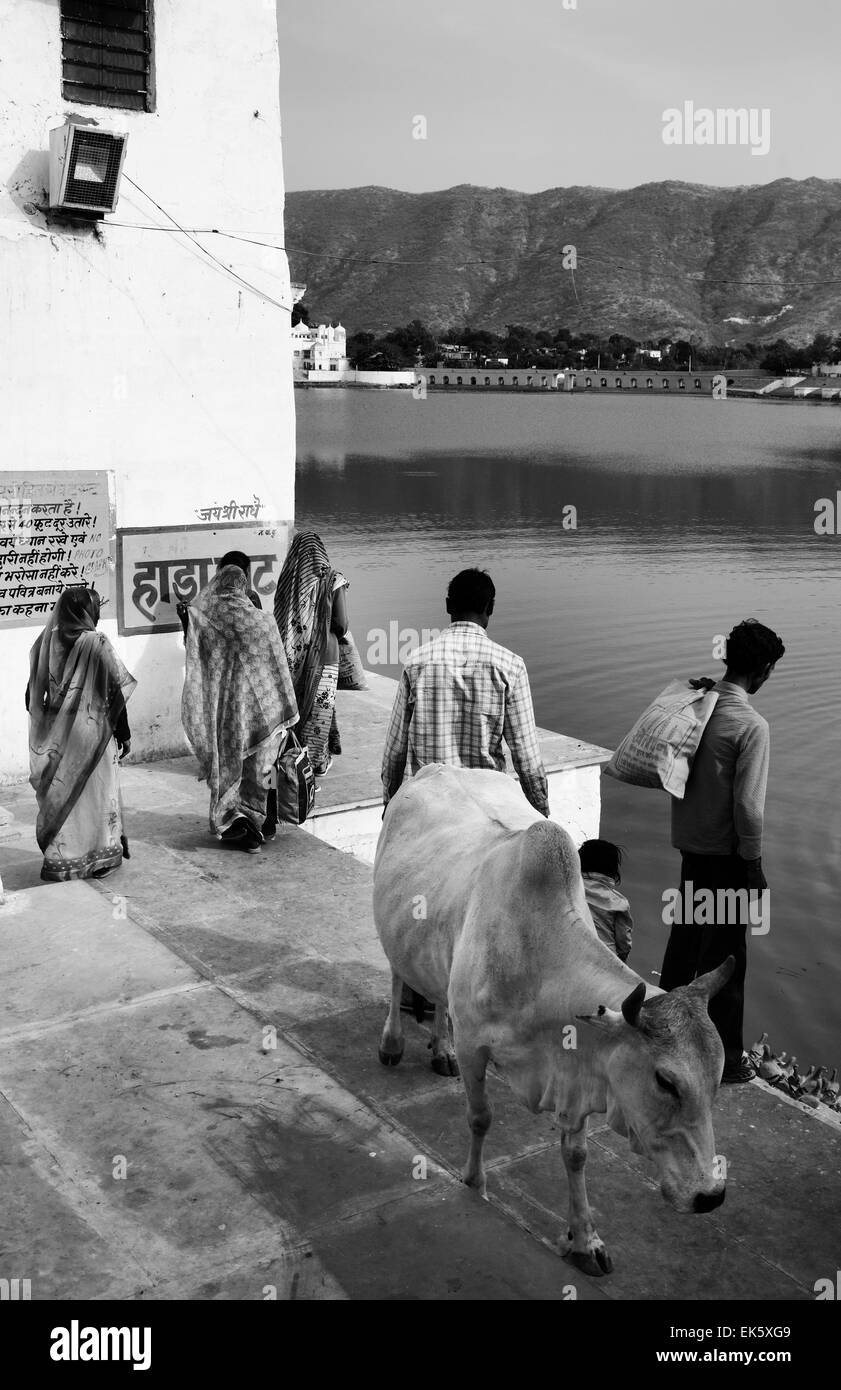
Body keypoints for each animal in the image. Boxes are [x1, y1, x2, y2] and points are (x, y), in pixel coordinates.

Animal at [369, 767, 733, 1273]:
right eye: (665, 1081)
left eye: (716, 1078)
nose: (710, 1195)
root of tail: (435, 768)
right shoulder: (475, 1045)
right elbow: (480, 1118)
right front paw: (475, 1184)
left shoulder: (575, 1066)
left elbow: (576, 1154)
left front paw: (585, 1240)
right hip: (394, 931)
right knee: (396, 976)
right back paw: (393, 1042)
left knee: (440, 999)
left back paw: (439, 1048)